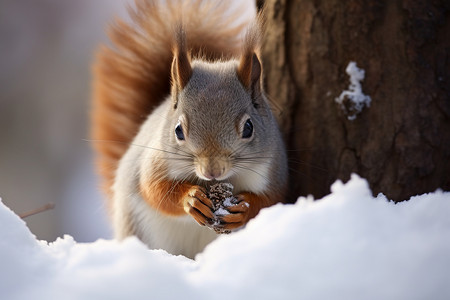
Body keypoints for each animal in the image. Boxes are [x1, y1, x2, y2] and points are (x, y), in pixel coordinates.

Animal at [91, 0, 288, 258]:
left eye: (248, 128)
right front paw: (191, 200)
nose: (212, 171)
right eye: (178, 131)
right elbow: (154, 190)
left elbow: (270, 201)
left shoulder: (273, 170)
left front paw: (244, 209)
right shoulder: (154, 162)